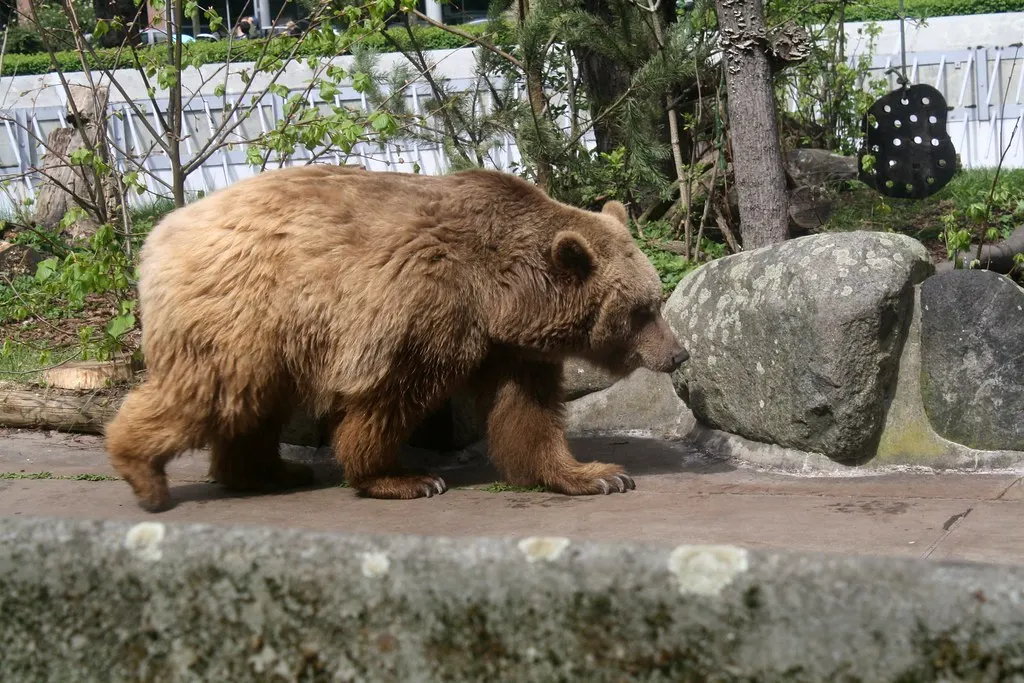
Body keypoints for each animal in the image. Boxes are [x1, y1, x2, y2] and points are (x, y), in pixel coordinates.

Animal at [105, 164, 689, 511]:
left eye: (655, 301)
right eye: (643, 310)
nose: (679, 353)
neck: (501, 294)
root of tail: (162, 232)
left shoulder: (512, 347)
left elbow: (528, 415)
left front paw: (596, 474)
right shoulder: (424, 307)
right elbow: (389, 396)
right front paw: (403, 478)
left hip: (273, 336)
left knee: (251, 403)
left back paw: (270, 470)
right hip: (245, 308)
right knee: (208, 390)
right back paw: (144, 475)